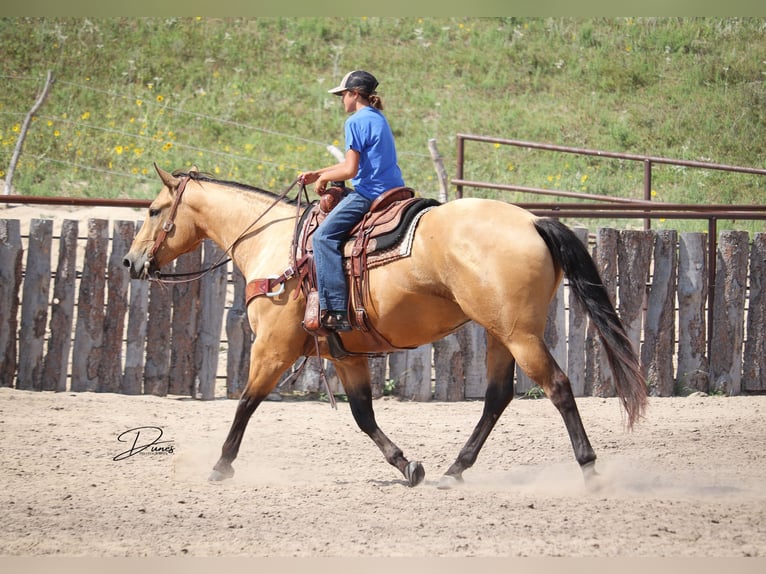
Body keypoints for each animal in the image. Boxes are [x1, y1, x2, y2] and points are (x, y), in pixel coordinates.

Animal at [124, 164, 648, 492]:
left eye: (153, 210)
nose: (130, 262)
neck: (273, 245)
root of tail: (534, 221)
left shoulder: (271, 347)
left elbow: (246, 404)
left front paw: (221, 466)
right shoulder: (343, 354)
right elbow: (363, 415)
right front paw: (407, 465)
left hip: (520, 335)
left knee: (557, 386)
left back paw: (589, 470)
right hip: (500, 333)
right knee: (497, 397)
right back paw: (455, 469)